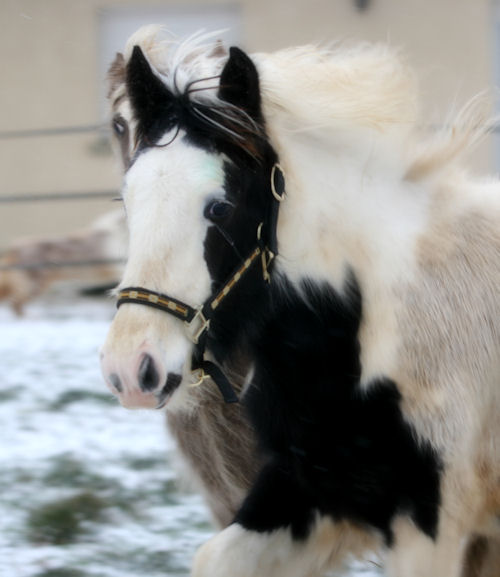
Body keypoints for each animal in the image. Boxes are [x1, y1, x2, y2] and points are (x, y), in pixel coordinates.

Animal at [100, 28, 500, 576]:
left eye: (220, 207)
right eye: (128, 199)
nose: (131, 368)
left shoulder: (431, 526)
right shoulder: (303, 493)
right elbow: (214, 558)